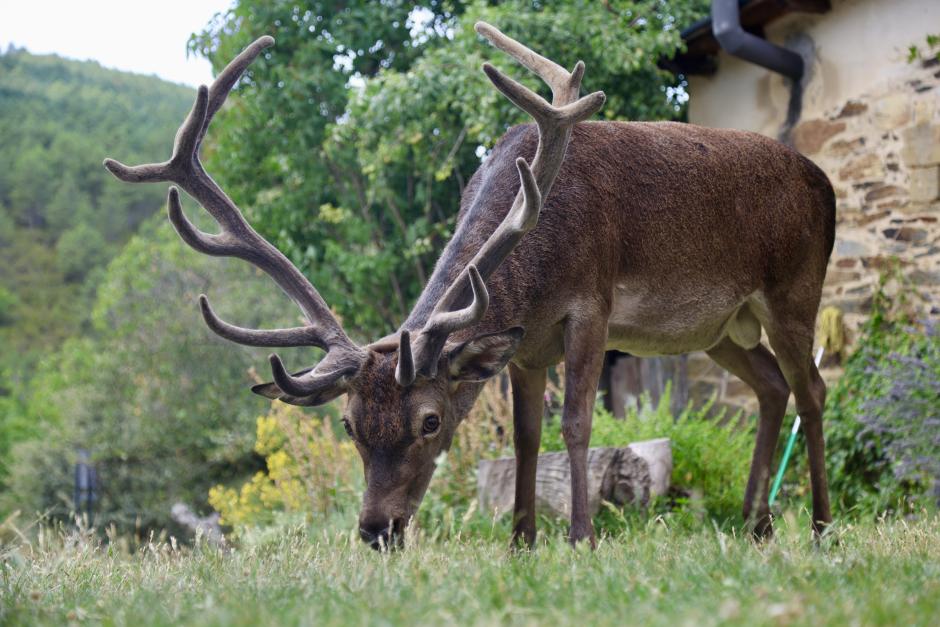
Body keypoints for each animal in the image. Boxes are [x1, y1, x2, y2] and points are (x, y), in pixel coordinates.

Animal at [104, 22, 836, 550]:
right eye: (349, 424)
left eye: (430, 421)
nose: (377, 531)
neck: (540, 248)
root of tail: (823, 181)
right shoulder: (525, 341)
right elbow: (525, 438)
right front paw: (520, 542)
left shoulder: (592, 304)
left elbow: (576, 422)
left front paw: (581, 538)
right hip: (722, 328)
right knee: (770, 386)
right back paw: (756, 525)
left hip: (795, 288)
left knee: (812, 387)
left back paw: (821, 527)